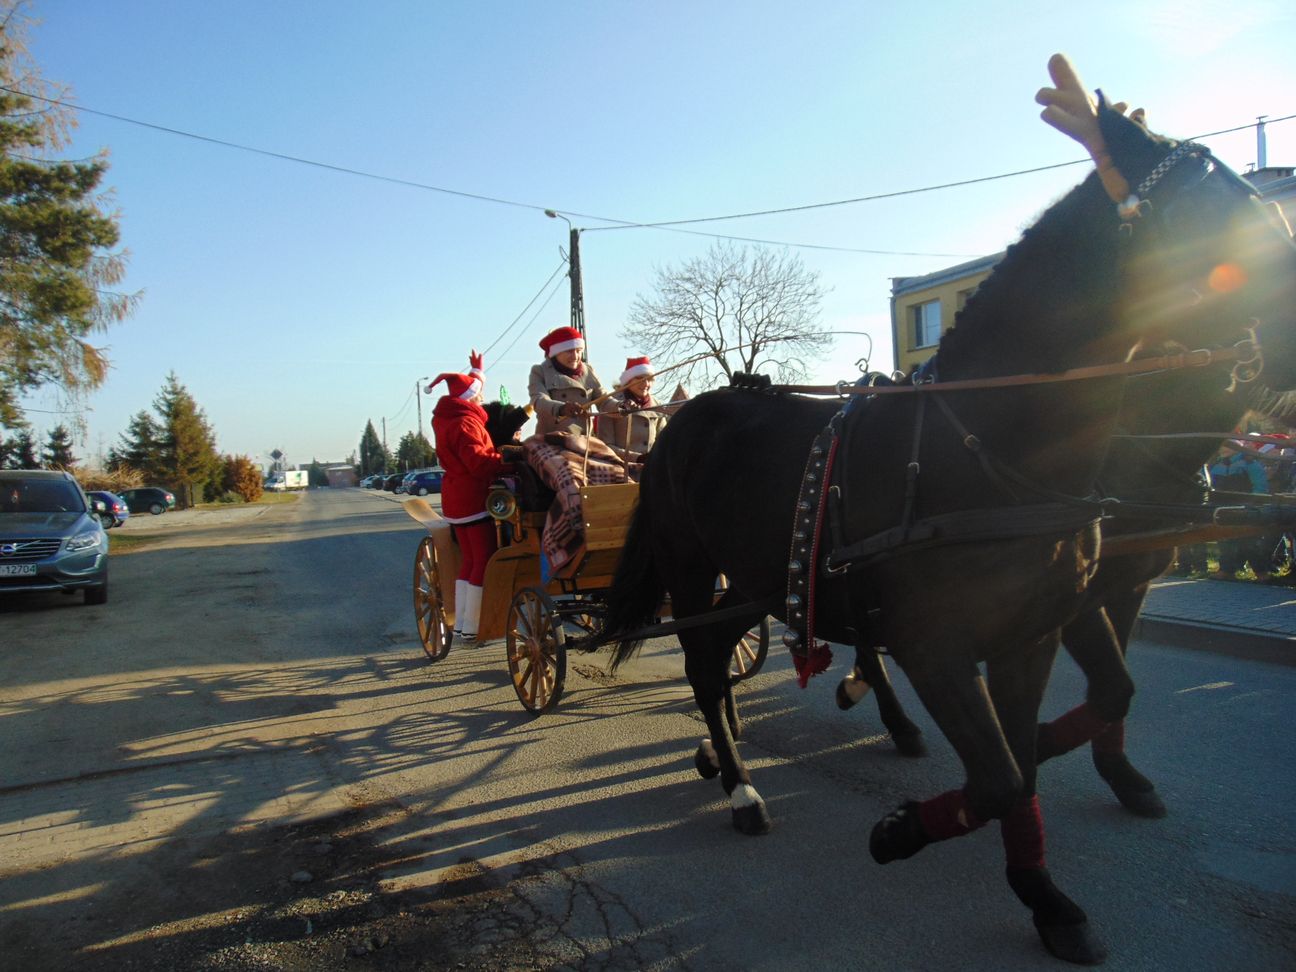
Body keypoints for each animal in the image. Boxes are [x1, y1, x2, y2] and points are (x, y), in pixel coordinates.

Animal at [593, 93, 1296, 969]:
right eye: (1213, 214)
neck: (990, 449)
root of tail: (686, 415)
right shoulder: (942, 648)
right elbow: (1001, 773)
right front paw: (899, 831)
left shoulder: (1036, 632)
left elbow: (1030, 758)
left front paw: (1045, 896)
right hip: (693, 570)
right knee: (701, 666)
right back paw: (742, 784)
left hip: (755, 579)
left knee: (724, 657)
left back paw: (730, 757)